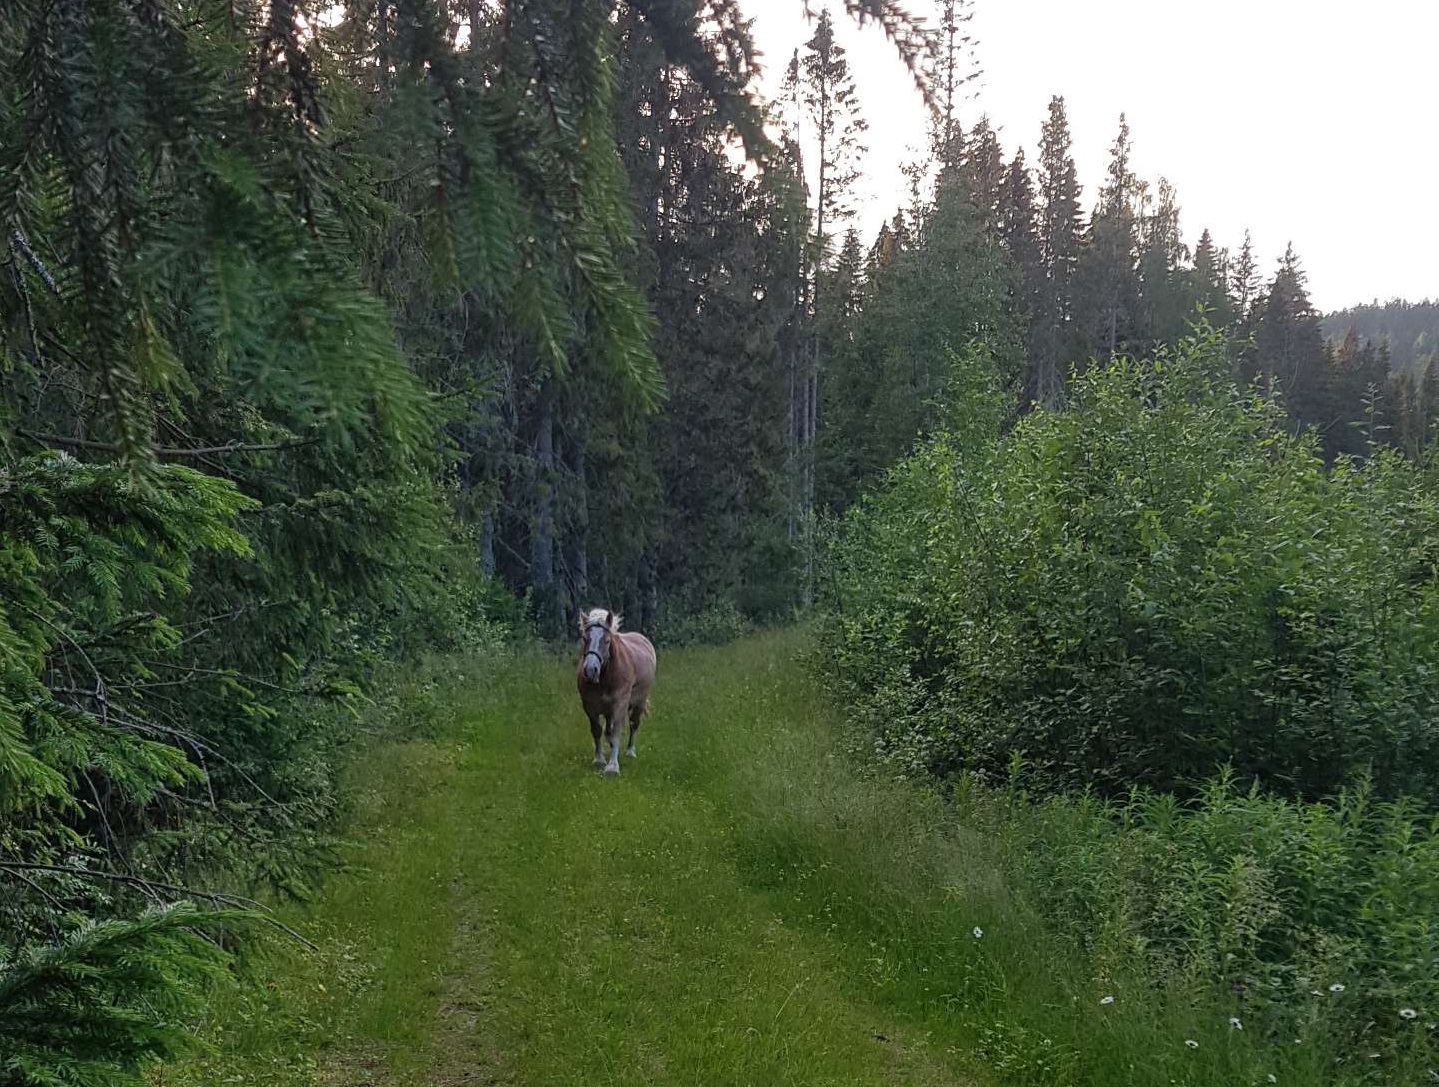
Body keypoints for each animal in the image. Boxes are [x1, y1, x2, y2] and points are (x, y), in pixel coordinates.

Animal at [578, 607, 659, 777]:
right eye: (584, 638)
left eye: (607, 640)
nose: (590, 670)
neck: (606, 677)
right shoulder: (589, 706)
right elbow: (597, 731)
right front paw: (599, 760)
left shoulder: (620, 705)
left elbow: (616, 733)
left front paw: (612, 767)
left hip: (639, 702)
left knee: (634, 724)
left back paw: (630, 752)